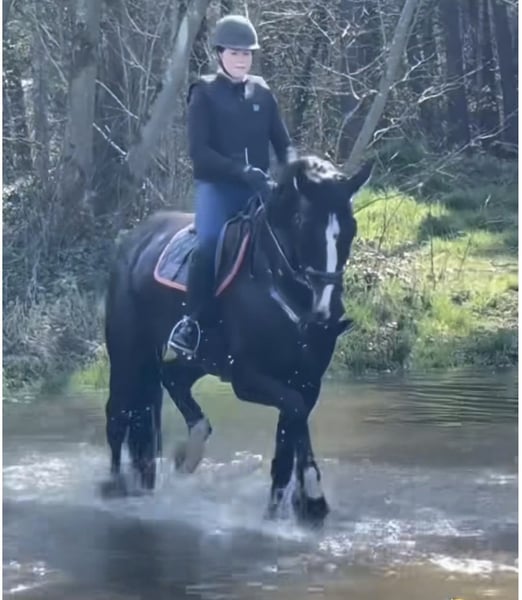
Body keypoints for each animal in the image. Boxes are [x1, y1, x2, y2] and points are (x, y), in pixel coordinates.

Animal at [102, 155, 372, 526]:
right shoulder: (247, 379)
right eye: (303, 222)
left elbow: (290, 436)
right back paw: (115, 488)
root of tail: (133, 240)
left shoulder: (306, 380)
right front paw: (310, 500)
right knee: (118, 416)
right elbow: (294, 412)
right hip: (128, 352)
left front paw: (291, 507)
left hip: (198, 360)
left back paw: (189, 452)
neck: (279, 285)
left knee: (171, 381)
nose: (326, 311)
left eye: (351, 227)